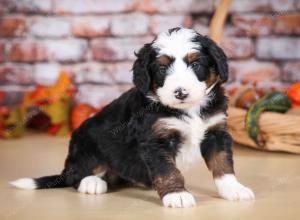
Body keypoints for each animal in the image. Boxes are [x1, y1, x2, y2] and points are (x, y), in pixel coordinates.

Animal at [12, 27, 255, 208]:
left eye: (195, 64)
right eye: (162, 69)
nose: (180, 92)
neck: (189, 109)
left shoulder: (216, 132)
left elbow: (222, 164)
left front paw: (233, 189)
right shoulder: (155, 141)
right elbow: (168, 171)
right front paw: (176, 194)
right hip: (86, 145)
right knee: (76, 175)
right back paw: (92, 182)